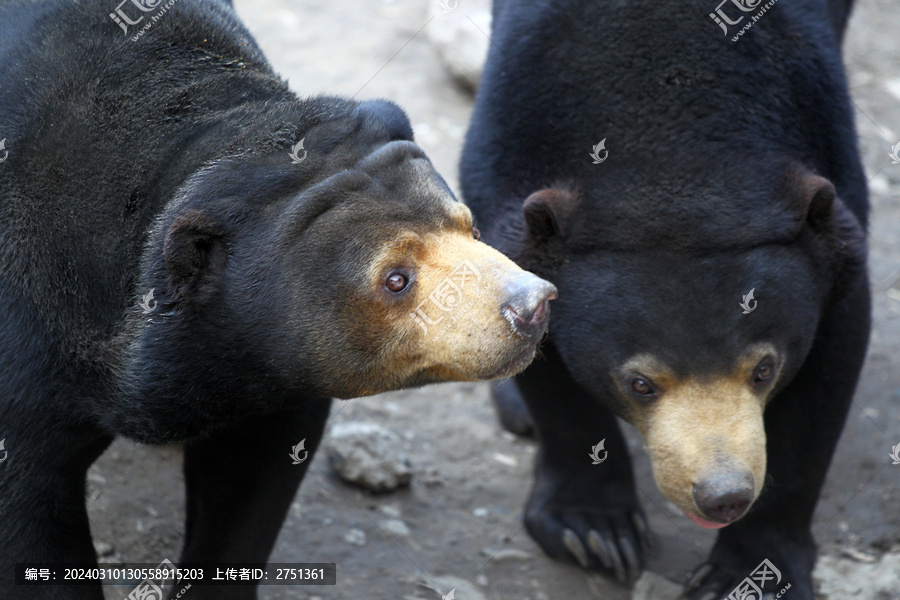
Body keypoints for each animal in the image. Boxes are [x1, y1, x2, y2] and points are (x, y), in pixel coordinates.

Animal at [0, 1, 560, 600]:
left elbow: (252, 482)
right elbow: (29, 506)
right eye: (395, 279)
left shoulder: (271, 370)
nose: (533, 304)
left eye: (470, 226)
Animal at [460, 0, 868, 596]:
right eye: (641, 384)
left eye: (764, 369)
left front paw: (747, 572)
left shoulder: (826, 192)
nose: (723, 497)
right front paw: (595, 534)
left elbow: (824, 382)